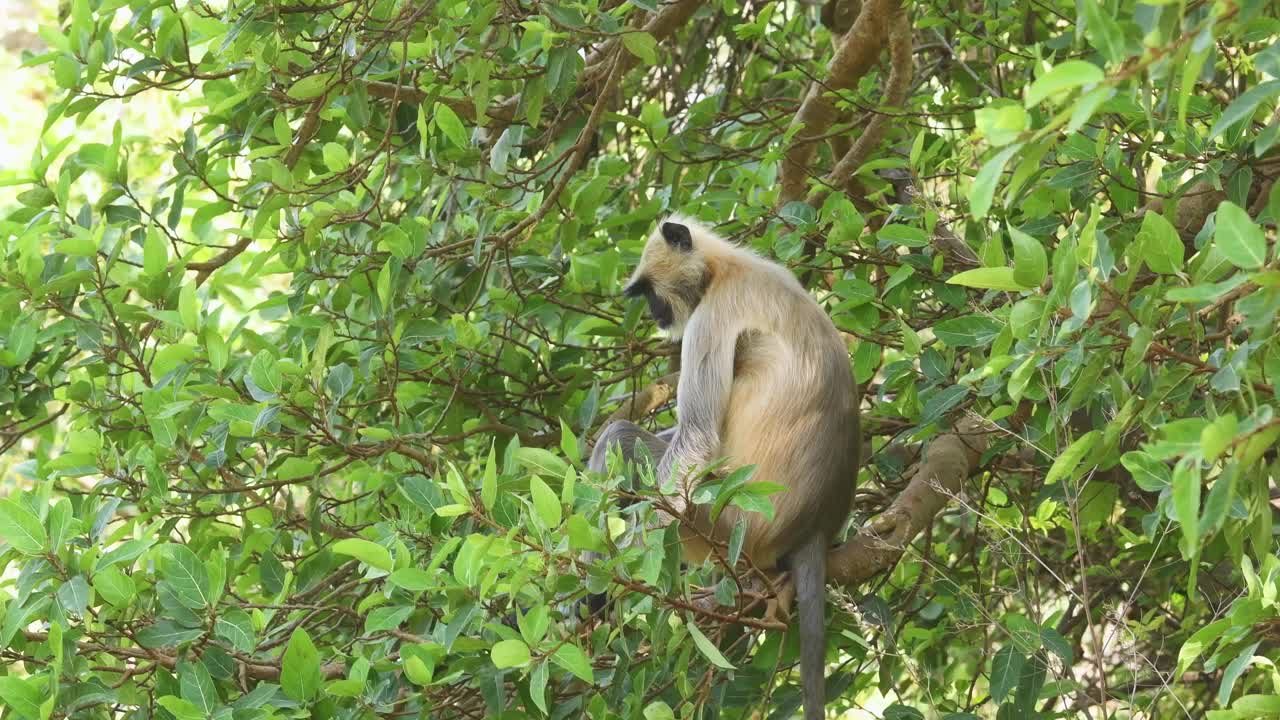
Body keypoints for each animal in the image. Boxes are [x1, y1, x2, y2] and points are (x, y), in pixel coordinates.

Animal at [588, 212, 860, 717]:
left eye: (650, 292)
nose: (655, 314)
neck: (725, 268)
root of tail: (815, 524)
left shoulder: (712, 317)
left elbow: (697, 439)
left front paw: (614, 583)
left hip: (722, 524)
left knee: (620, 438)